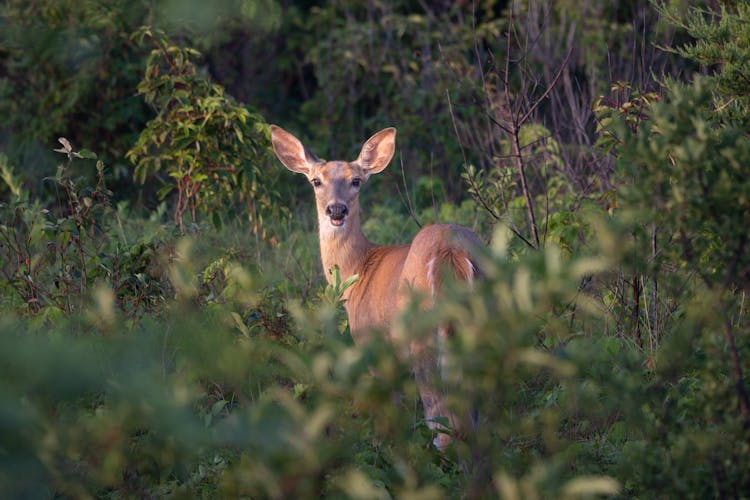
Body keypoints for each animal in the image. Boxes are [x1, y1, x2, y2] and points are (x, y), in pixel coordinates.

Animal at [274, 124, 484, 450]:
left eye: (356, 181)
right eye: (316, 181)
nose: (336, 210)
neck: (360, 270)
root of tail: (451, 251)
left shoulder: (371, 344)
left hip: (423, 338)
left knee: (443, 425)